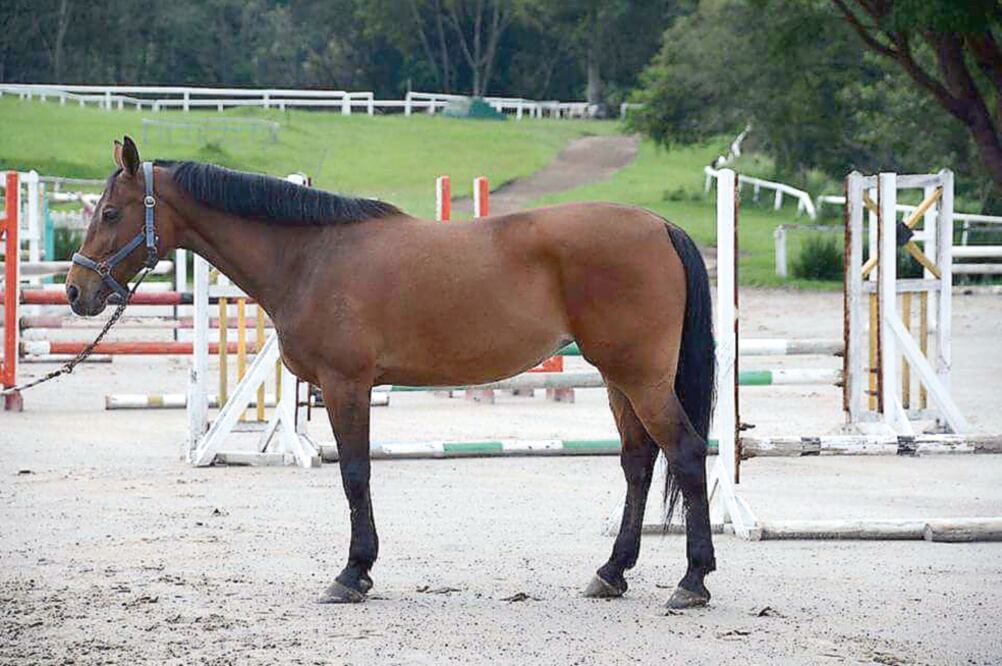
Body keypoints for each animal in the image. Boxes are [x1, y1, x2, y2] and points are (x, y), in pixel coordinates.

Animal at [65, 136, 717, 610]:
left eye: (112, 212)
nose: (76, 291)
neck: (310, 256)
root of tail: (660, 225)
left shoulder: (345, 386)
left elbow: (355, 475)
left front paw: (353, 573)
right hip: (617, 379)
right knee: (638, 462)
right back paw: (611, 572)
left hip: (639, 378)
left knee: (684, 452)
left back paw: (692, 580)